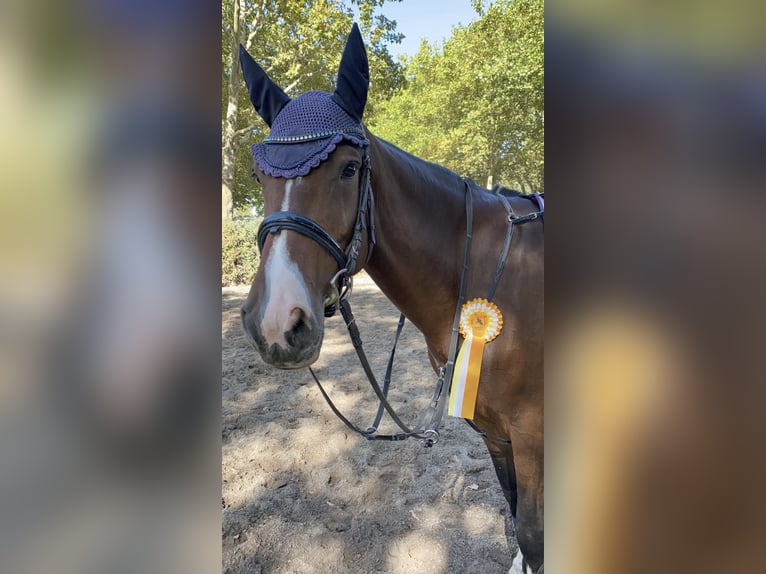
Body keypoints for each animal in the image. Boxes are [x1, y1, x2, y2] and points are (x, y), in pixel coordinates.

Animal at [240, 24, 544, 572]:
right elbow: (516, 515)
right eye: (259, 176)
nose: (277, 323)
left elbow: (533, 530)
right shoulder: (495, 428)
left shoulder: (532, 428)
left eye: (348, 168)